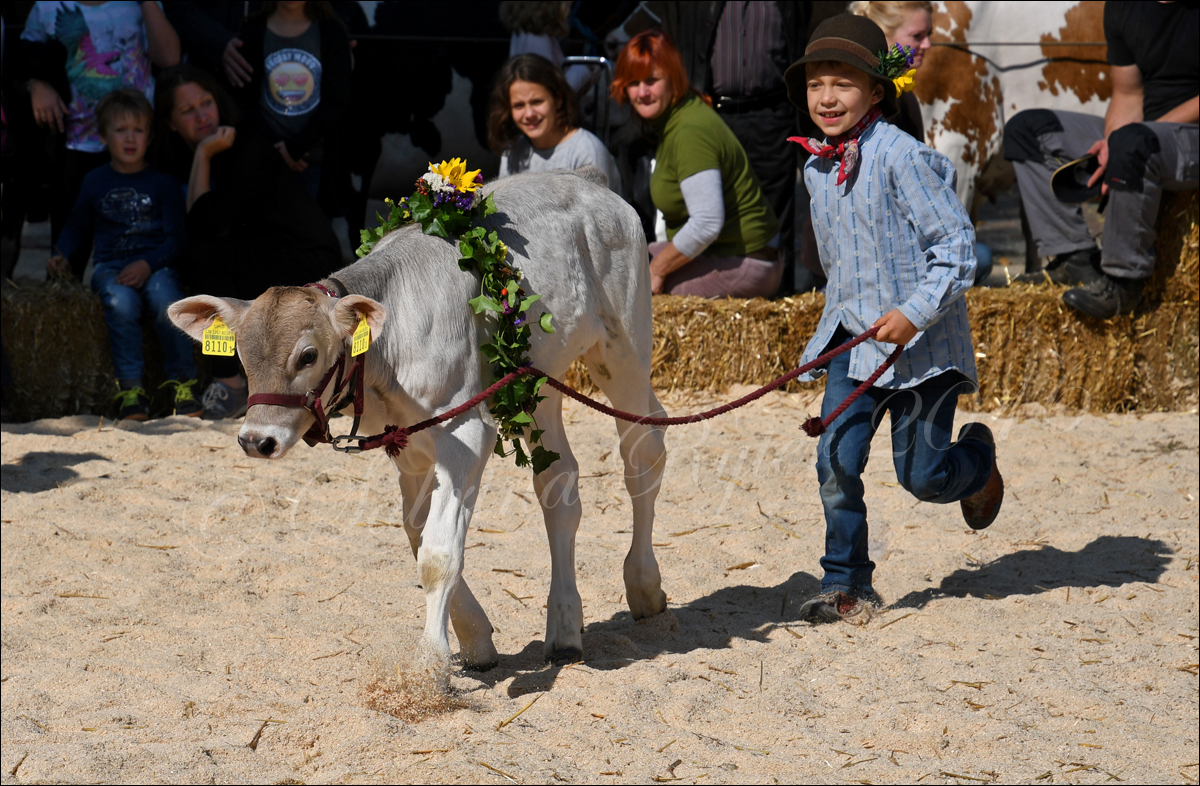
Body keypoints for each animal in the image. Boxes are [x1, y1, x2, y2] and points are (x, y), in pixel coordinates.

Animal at [170, 169, 672, 667]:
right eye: (241, 356)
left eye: (308, 355)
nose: (257, 439)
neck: (390, 344)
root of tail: (586, 178)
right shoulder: (408, 443)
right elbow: (417, 533)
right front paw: (476, 639)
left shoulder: (465, 432)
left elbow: (438, 552)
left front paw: (430, 662)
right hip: (536, 382)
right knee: (559, 483)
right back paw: (565, 627)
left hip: (623, 349)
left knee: (644, 449)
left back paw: (644, 585)